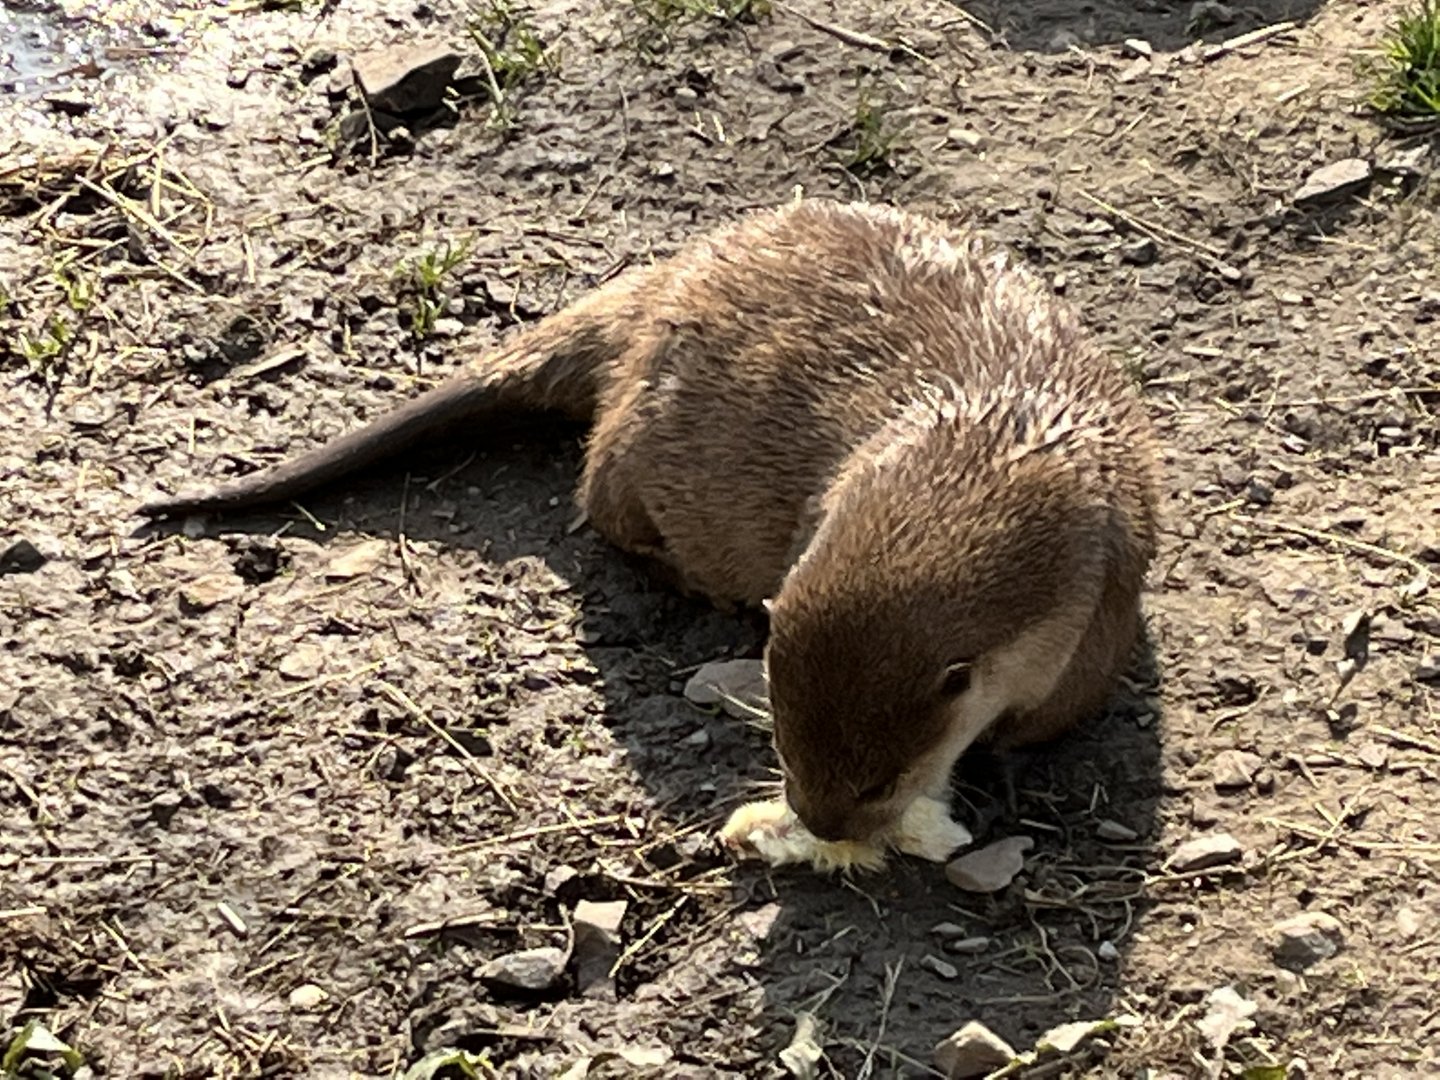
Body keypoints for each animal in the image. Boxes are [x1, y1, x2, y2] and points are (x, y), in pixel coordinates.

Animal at [138, 198, 1160, 874]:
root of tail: (660, 284)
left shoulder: (1100, 620)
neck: (996, 439)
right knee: (599, 509)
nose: (823, 823)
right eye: (786, 751)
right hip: (636, 437)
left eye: (873, 788)